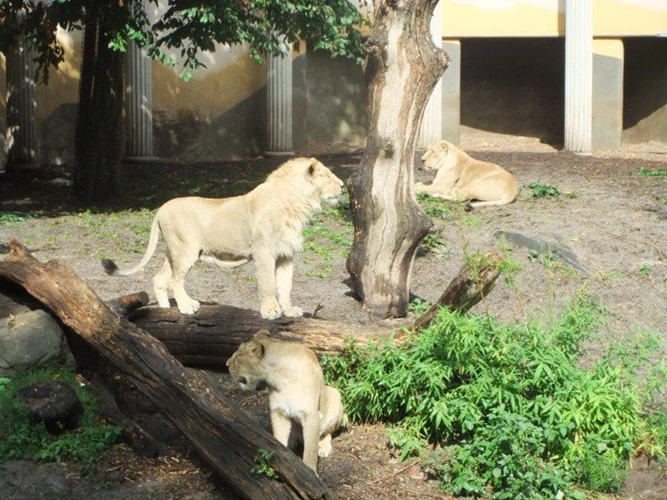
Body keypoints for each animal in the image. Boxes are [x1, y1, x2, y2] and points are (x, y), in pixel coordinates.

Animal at [105, 158, 344, 318]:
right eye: (328, 175)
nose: (342, 185)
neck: (296, 204)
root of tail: (161, 208)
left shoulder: (286, 254)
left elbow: (285, 285)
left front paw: (289, 309)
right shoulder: (264, 252)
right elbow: (267, 284)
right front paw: (270, 311)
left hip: (172, 253)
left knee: (159, 279)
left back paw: (166, 311)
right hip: (185, 252)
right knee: (175, 281)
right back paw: (187, 306)